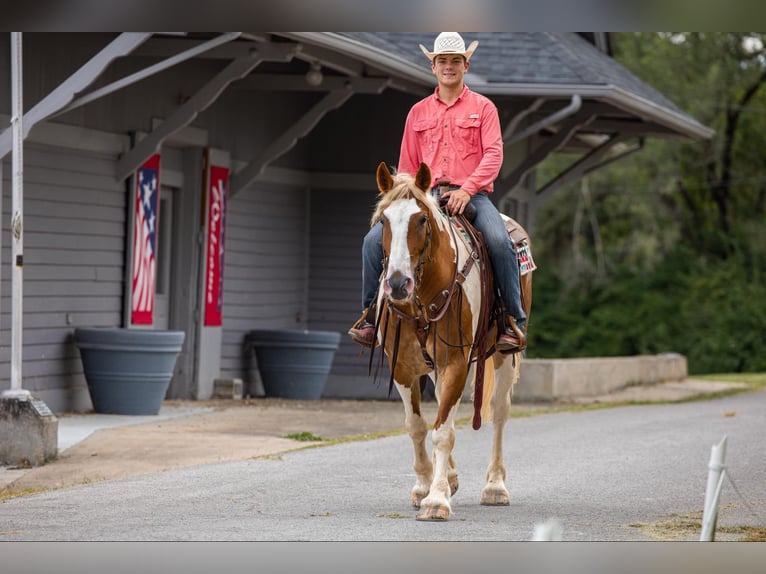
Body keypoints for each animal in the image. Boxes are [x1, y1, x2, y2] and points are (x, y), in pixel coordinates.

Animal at [369, 161, 533, 521]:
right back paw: (452, 477)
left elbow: (443, 432)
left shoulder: (456, 361)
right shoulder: (403, 367)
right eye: (383, 220)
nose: (398, 284)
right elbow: (417, 426)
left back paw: (495, 486)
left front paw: (436, 499)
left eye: (421, 220)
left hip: (504, 355)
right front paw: (424, 487)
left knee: (499, 412)